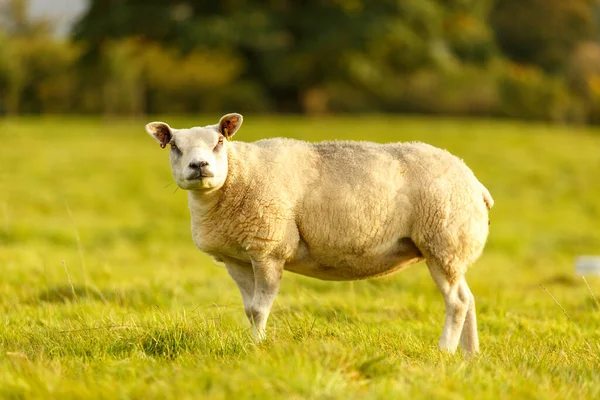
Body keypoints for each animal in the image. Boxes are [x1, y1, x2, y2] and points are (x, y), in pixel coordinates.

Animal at [145, 112, 492, 354]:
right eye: (174, 146)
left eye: (219, 142)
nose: (199, 165)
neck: (237, 178)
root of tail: (475, 182)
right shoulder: (237, 259)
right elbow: (248, 309)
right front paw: (252, 341)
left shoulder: (269, 248)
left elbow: (259, 308)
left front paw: (257, 347)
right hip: (453, 249)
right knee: (469, 298)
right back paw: (470, 354)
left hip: (443, 242)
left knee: (457, 302)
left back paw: (445, 350)